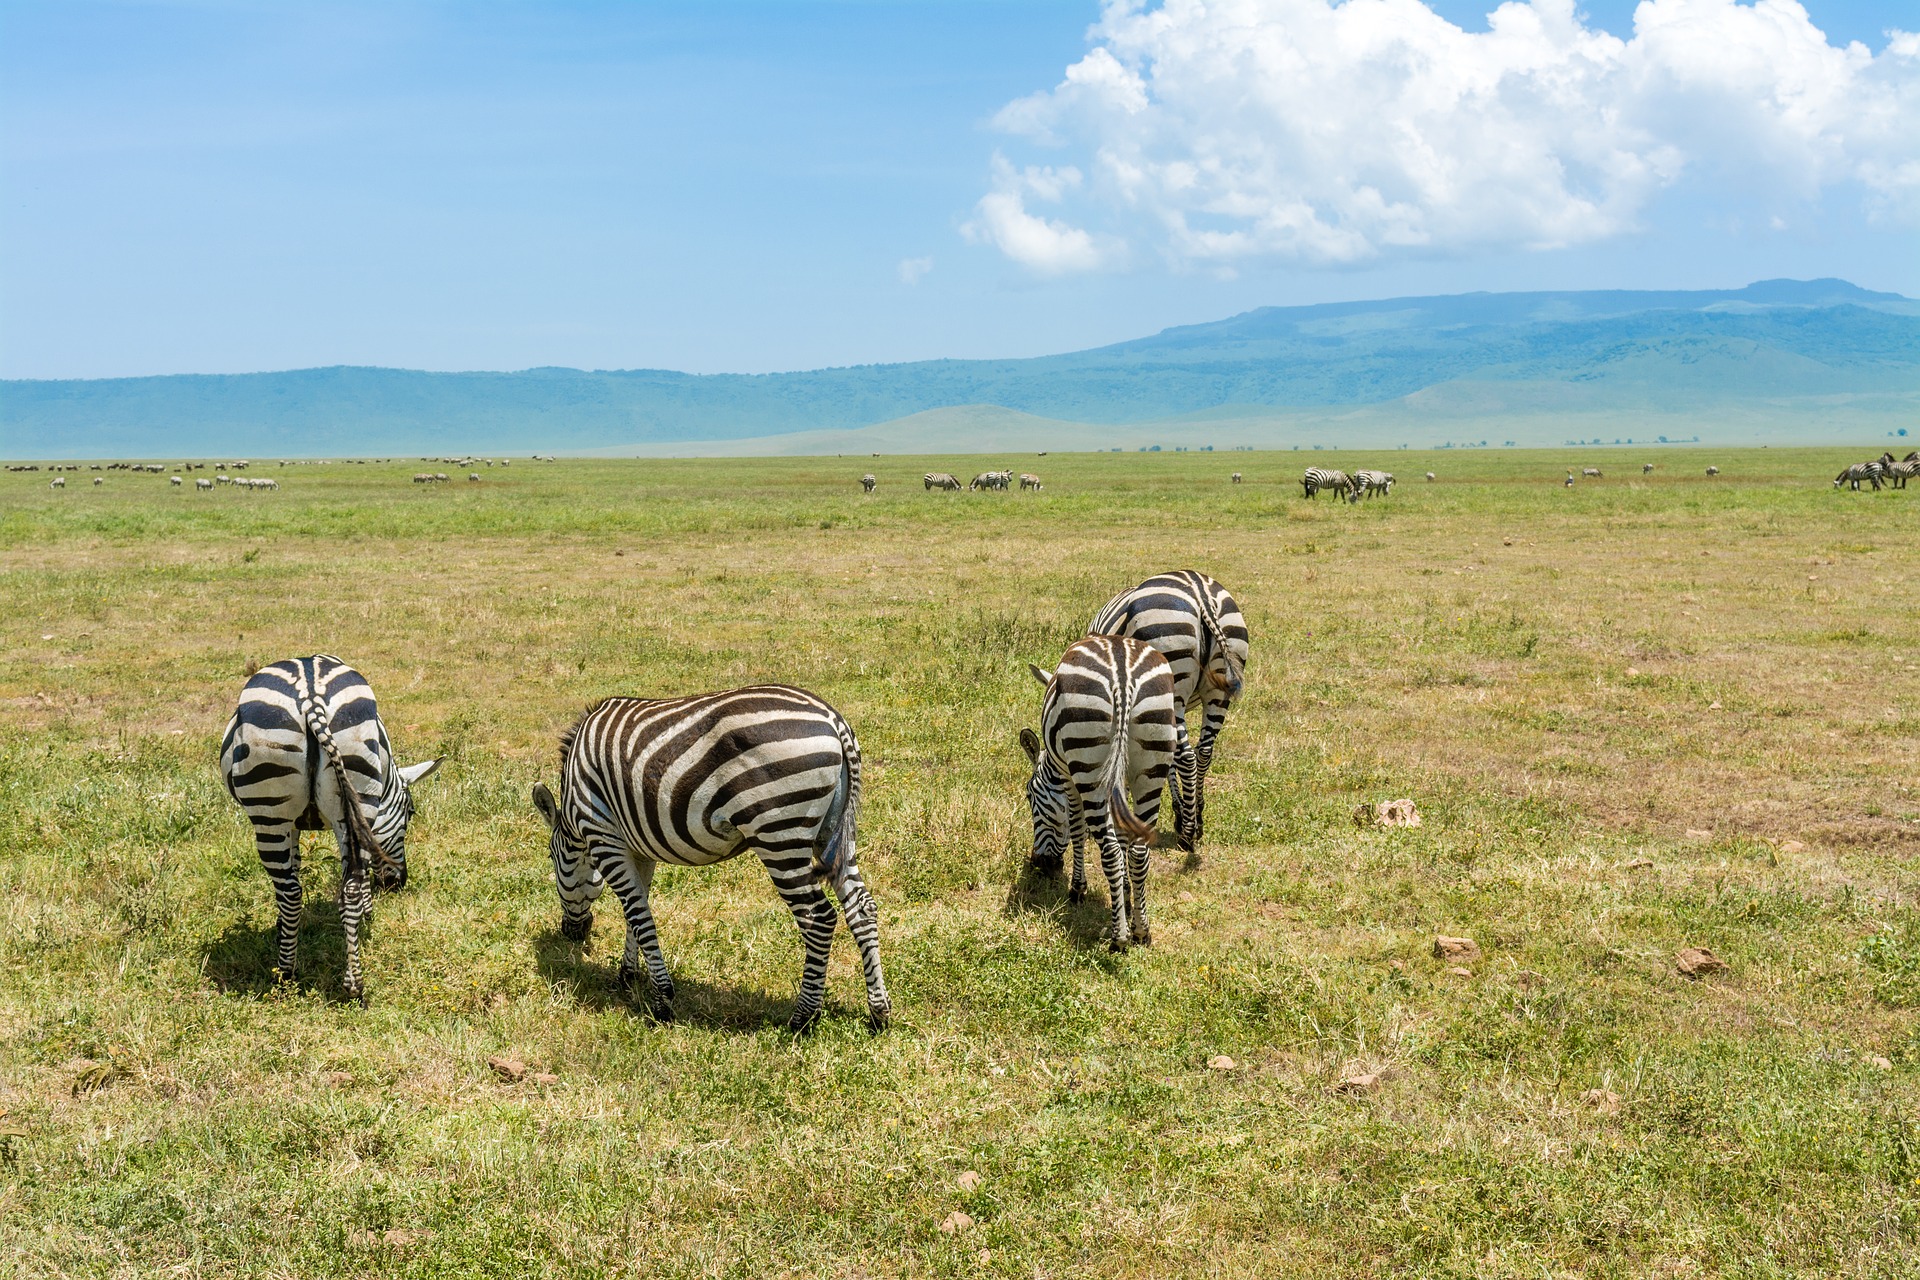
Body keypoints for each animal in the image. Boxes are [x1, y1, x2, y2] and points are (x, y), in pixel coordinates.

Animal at [219, 660, 439, 997]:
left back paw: (288, 974)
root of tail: (311, 697)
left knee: (291, 892)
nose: (398, 883)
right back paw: (351, 983)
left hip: (271, 811)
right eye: (410, 813)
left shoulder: (302, 823)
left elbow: (298, 869)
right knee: (344, 888)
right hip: (353, 791)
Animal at [533, 690, 890, 1028]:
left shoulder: (603, 837)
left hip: (779, 835)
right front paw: (627, 976)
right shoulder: (638, 849)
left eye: (552, 858)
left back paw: (802, 1018)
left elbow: (638, 915)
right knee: (861, 907)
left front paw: (662, 1000)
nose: (572, 933)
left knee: (818, 918)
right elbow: (635, 913)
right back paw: (878, 1012)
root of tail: (833, 720)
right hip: (831, 833)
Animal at [1013, 637, 1175, 951]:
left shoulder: (1067, 776)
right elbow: (1123, 835)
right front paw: (1125, 893)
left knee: (1108, 849)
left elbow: (1077, 829)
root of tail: (1124, 676)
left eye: (1029, 797)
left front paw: (1078, 889)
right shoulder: (1120, 779)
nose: (1039, 864)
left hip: (1087, 762)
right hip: (1151, 762)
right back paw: (1141, 932)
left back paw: (1119, 938)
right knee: (1140, 850)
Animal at [1090, 571, 1251, 855]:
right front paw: (1183, 811)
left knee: (1186, 756)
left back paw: (1187, 834)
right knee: (1203, 752)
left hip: (1172, 675)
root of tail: (1200, 593)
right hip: (1219, 689)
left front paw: (1179, 814)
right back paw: (1197, 821)